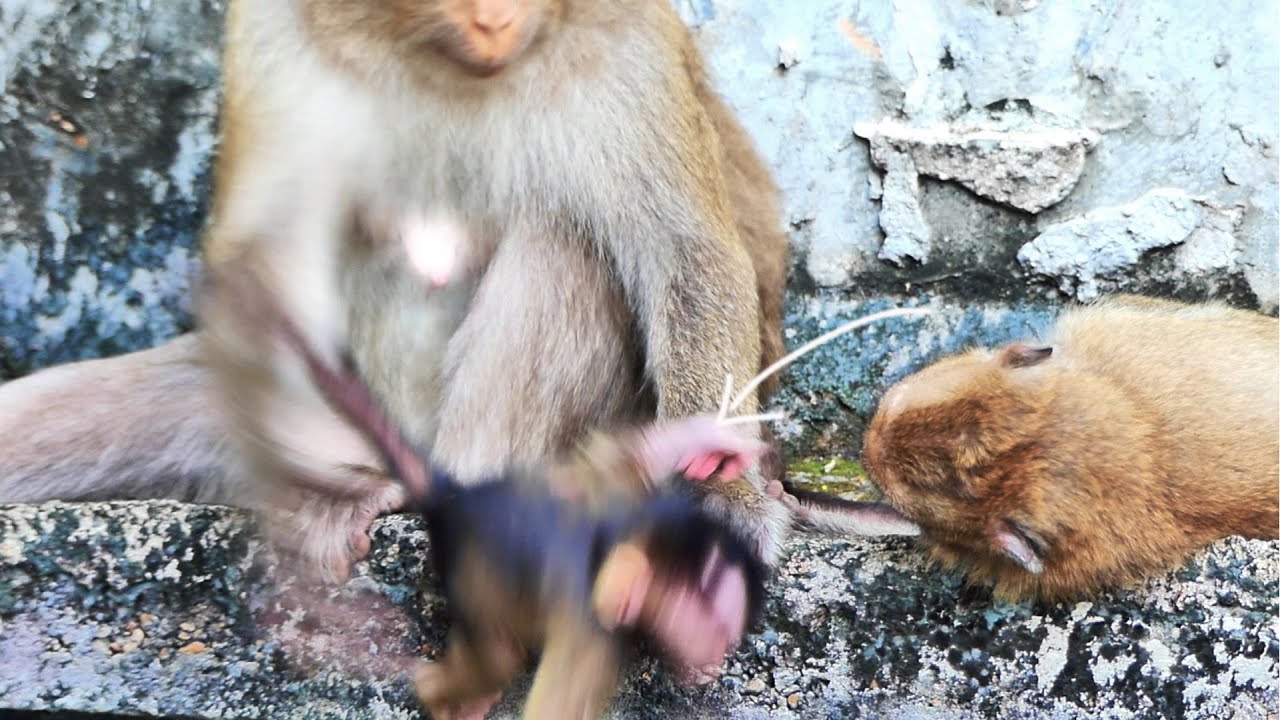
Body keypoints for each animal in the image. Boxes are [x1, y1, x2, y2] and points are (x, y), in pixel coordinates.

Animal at [0, 0, 793, 583]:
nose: (495, 14)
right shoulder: (274, 32)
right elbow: (262, 260)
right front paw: (322, 498)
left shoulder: (627, 43)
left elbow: (685, 254)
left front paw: (719, 497)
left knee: (566, 242)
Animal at [237, 267, 766, 720]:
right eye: (718, 628)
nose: (716, 655)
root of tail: (456, 497)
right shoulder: (593, 632)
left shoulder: (622, 502)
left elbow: (611, 463)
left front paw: (706, 442)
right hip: (466, 572)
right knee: (497, 654)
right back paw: (435, 686)